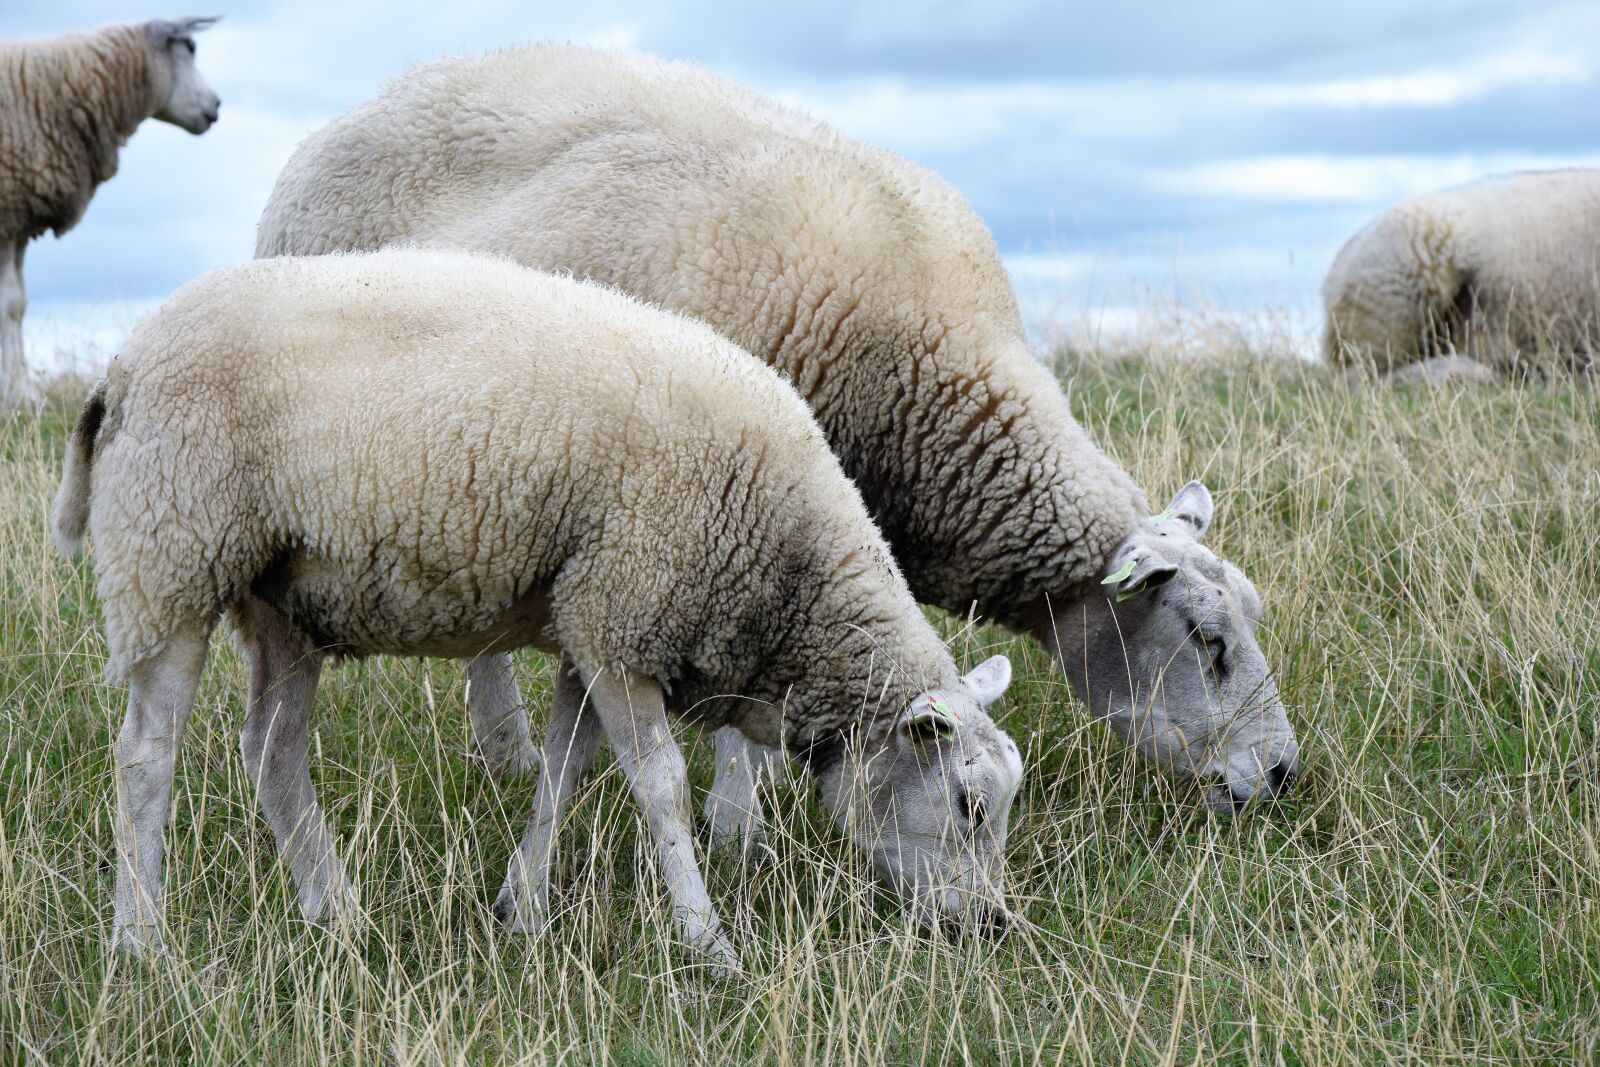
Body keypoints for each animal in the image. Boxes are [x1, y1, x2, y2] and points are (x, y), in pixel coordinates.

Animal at [0, 16, 221, 406]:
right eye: (190, 48)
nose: (217, 105)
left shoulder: (19, 219)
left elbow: (19, 304)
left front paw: (20, 392)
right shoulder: (8, 213)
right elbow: (11, 304)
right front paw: (17, 396)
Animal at [51, 249, 1023, 973]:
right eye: (969, 805)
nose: (993, 926)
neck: (792, 569)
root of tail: (122, 366)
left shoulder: (588, 620)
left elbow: (565, 768)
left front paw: (521, 907)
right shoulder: (625, 613)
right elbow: (661, 786)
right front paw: (708, 942)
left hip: (284, 598)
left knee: (271, 750)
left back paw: (336, 914)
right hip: (173, 554)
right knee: (145, 754)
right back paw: (142, 940)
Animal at [255, 44, 1300, 822]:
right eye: (1208, 641)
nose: (1285, 774)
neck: (920, 382)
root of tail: (356, 110)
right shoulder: (740, 500)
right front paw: (739, 819)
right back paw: (507, 749)